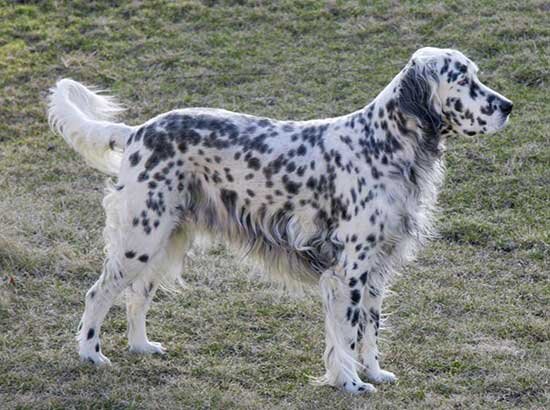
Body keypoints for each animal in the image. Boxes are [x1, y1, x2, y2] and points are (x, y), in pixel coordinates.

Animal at [47, 47, 512, 394]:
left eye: (475, 74)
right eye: (463, 79)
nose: (508, 106)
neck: (382, 145)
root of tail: (136, 132)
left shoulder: (377, 268)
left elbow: (370, 329)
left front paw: (375, 373)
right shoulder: (348, 270)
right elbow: (346, 333)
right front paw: (351, 383)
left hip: (165, 239)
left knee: (137, 295)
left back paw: (142, 346)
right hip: (140, 237)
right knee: (99, 293)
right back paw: (91, 353)